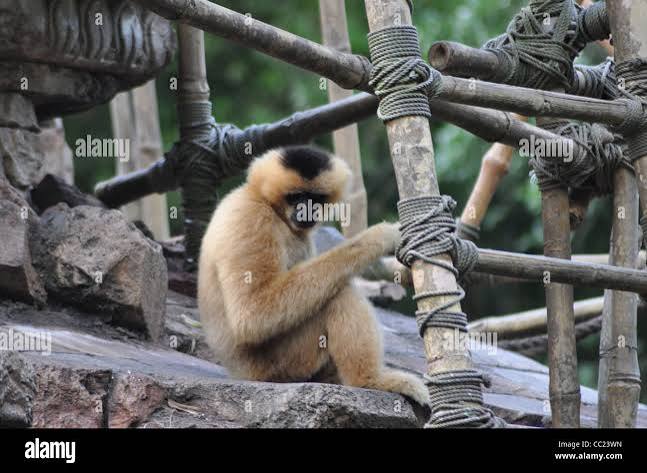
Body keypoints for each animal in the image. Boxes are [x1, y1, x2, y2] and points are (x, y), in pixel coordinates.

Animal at [197, 145, 430, 407]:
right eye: (296, 196)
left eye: (315, 198)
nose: (305, 210)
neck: (268, 205)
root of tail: (241, 373)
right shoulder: (250, 218)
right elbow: (253, 315)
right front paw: (380, 236)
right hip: (280, 362)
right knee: (340, 294)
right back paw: (370, 381)